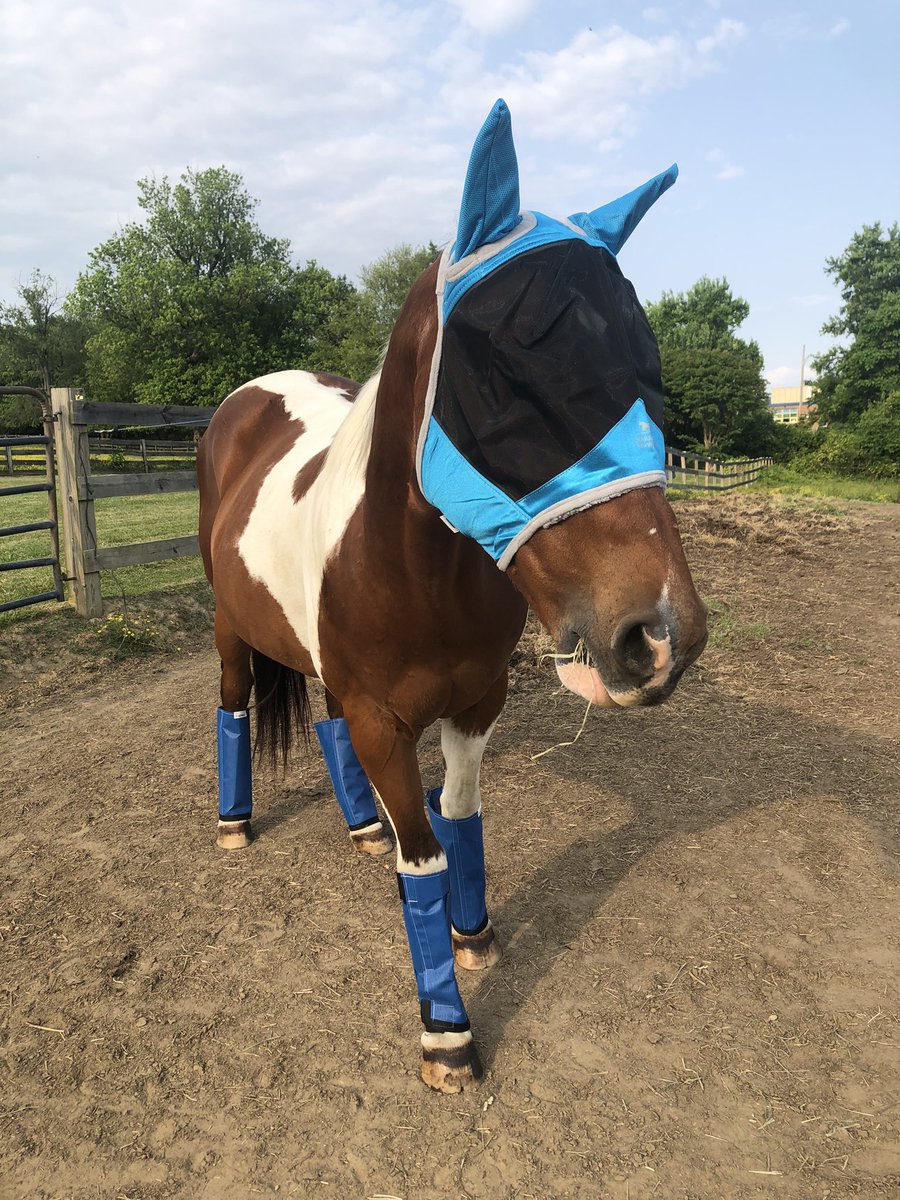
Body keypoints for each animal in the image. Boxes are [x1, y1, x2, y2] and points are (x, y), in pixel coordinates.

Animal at [197, 100, 708, 1093]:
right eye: (506, 374)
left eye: (644, 365)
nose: (663, 635)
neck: (414, 572)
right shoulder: (385, 720)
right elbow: (424, 858)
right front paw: (446, 1034)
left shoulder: (476, 704)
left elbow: (461, 820)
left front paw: (475, 937)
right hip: (231, 634)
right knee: (237, 706)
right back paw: (236, 825)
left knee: (323, 722)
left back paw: (360, 829)